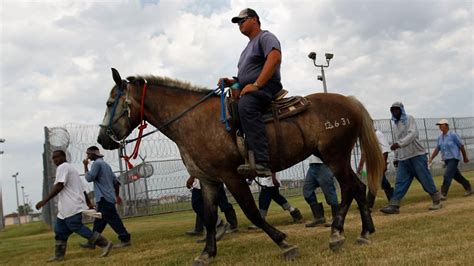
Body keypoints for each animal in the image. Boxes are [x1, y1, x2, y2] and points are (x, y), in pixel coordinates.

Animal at [98, 68, 384, 264]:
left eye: (110, 103)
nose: (102, 139)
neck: (193, 121)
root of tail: (350, 102)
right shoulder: (208, 180)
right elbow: (210, 217)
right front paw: (206, 252)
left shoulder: (231, 177)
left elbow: (252, 212)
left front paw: (284, 243)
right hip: (337, 157)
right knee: (357, 187)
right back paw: (364, 232)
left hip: (334, 156)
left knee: (349, 188)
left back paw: (337, 233)